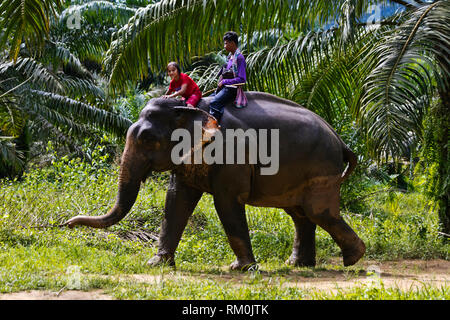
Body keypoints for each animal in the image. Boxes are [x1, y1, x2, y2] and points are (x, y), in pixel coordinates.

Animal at [63, 92, 366, 270]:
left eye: (148, 138)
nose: (67, 223)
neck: (193, 109)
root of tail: (340, 140)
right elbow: (176, 200)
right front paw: (156, 263)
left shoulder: (231, 154)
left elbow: (226, 202)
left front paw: (242, 268)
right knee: (300, 214)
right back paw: (298, 265)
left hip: (320, 168)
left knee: (318, 212)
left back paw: (353, 258)